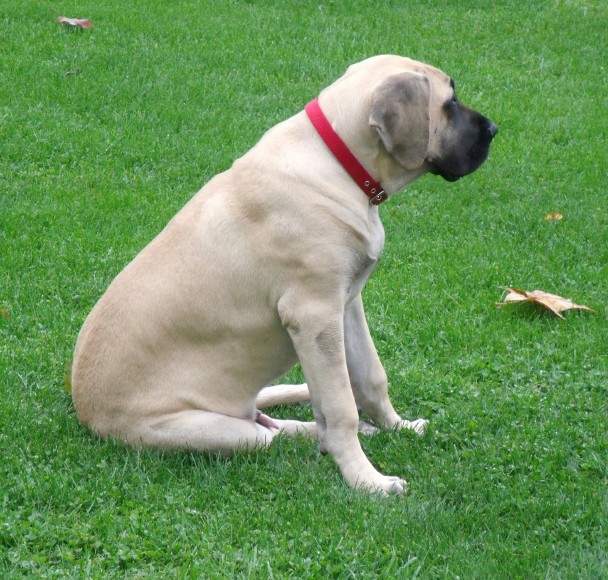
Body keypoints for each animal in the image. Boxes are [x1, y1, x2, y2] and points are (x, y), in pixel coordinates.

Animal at [72, 55, 498, 494]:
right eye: (450, 102)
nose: (494, 131)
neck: (337, 163)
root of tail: (85, 411)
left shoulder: (346, 304)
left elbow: (370, 377)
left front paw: (399, 427)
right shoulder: (315, 314)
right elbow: (342, 407)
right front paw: (366, 480)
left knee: (278, 417)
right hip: (224, 432)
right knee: (270, 433)